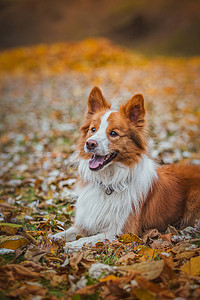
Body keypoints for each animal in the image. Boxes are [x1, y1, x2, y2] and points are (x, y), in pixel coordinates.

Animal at [52, 85, 200, 250]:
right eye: (93, 129)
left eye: (113, 133)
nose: (90, 143)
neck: (109, 182)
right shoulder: (86, 221)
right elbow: (67, 232)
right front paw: (53, 238)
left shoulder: (122, 231)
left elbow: (89, 239)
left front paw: (71, 245)